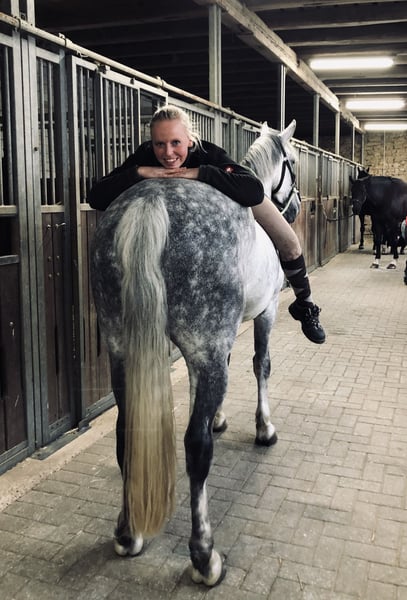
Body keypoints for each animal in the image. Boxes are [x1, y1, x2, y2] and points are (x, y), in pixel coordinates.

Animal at [90, 119, 301, 587]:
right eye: (293, 162)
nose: (294, 208)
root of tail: (149, 204)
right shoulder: (264, 313)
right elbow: (261, 365)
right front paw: (264, 429)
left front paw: (218, 417)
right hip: (207, 342)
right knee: (195, 447)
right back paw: (205, 556)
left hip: (121, 350)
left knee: (126, 431)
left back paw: (127, 534)